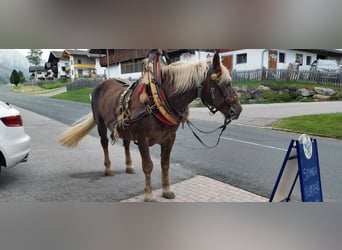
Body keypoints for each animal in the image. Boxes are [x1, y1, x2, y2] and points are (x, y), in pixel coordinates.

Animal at [59, 51, 240, 202]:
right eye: (226, 83)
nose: (238, 110)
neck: (157, 99)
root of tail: (101, 85)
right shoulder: (143, 139)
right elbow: (148, 166)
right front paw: (149, 194)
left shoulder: (169, 139)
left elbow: (165, 165)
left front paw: (167, 190)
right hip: (101, 123)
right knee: (104, 143)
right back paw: (108, 168)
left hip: (125, 127)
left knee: (125, 143)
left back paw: (129, 166)